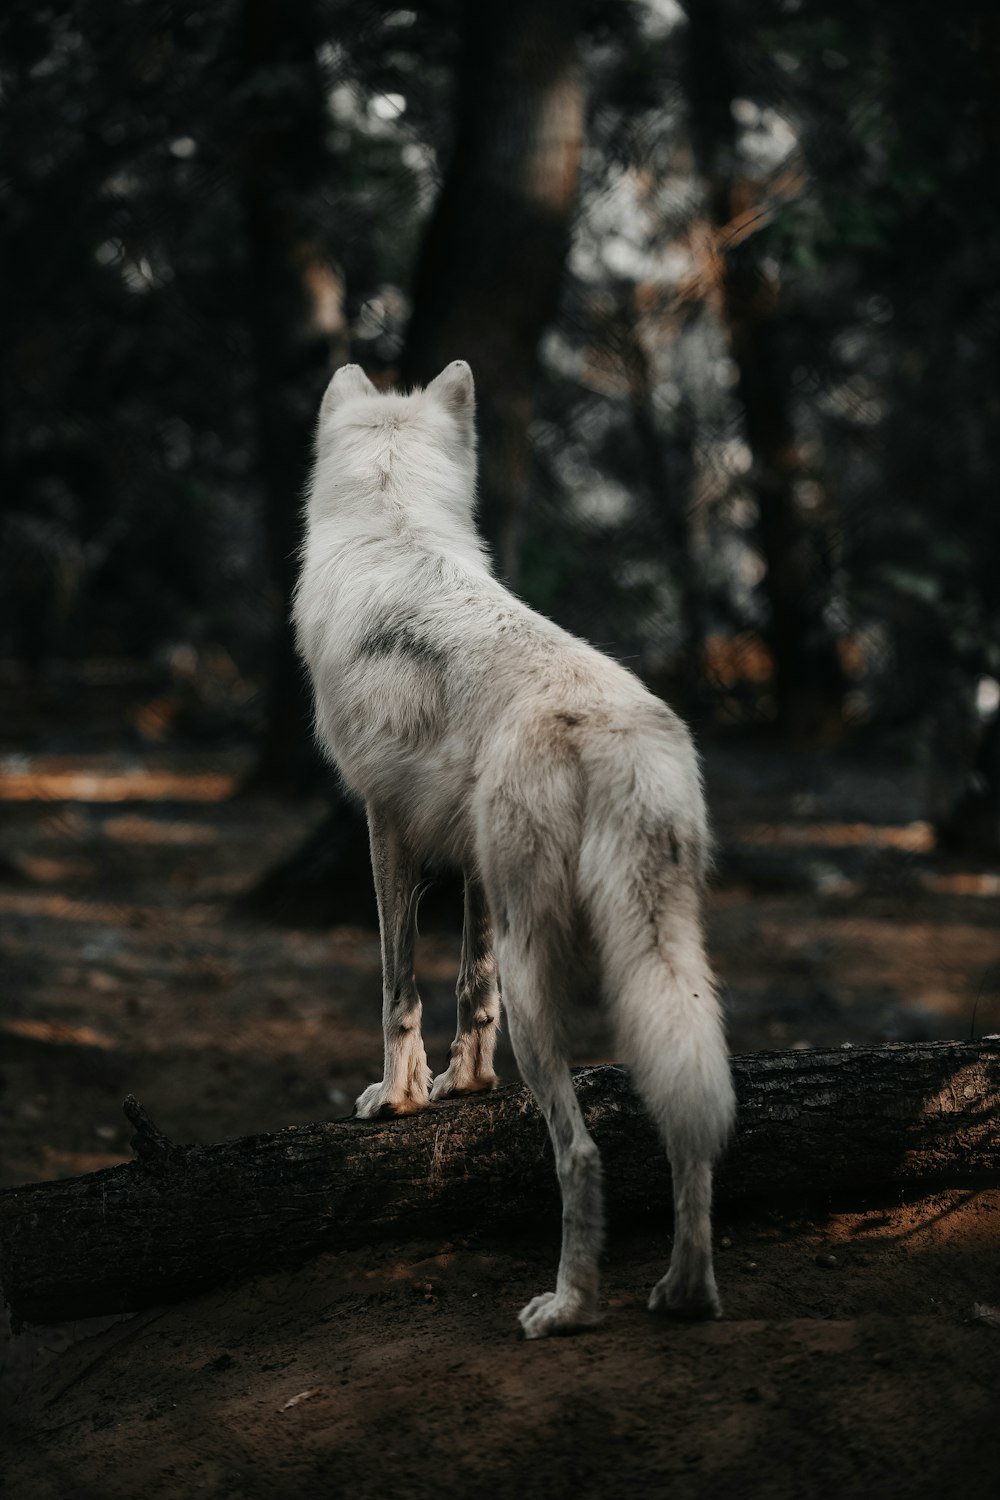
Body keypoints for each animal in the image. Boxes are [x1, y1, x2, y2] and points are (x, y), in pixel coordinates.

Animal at [293, 360, 740, 1338]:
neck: (393, 522)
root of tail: (611, 728)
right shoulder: (475, 867)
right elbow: (470, 984)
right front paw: (464, 1086)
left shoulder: (386, 827)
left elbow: (398, 990)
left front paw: (399, 1099)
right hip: (669, 965)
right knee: (692, 1116)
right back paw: (686, 1293)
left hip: (551, 990)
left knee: (581, 1155)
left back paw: (569, 1307)